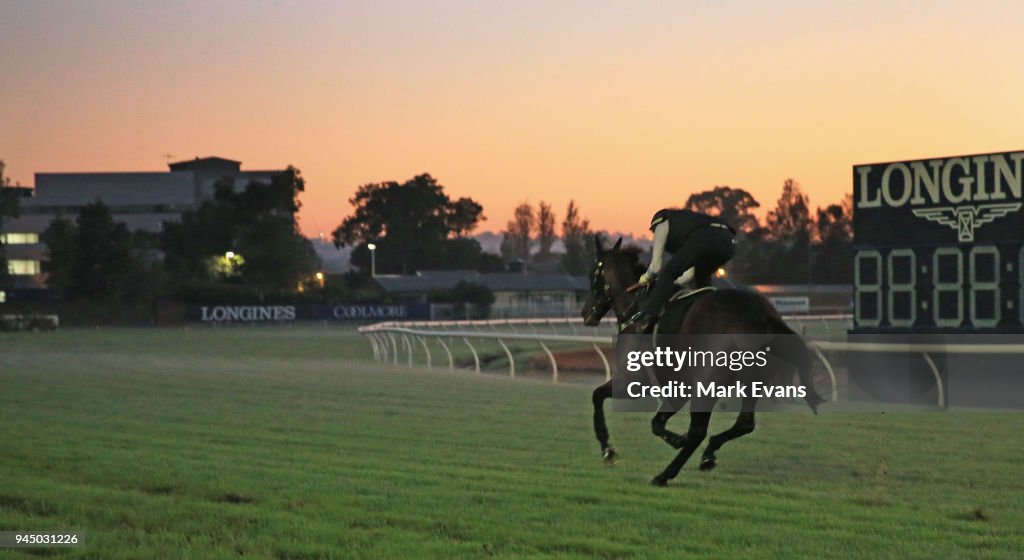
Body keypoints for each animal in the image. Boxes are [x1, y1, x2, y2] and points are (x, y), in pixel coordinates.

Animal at [581, 236, 827, 487]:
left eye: (592, 274)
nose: (585, 313)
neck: (636, 307)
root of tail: (763, 316)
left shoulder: (633, 380)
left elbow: (598, 397)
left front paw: (608, 451)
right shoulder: (676, 388)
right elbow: (656, 422)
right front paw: (676, 440)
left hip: (708, 384)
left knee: (699, 431)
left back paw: (664, 474)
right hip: (751, 381)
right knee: (744, 423)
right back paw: (708, 454)